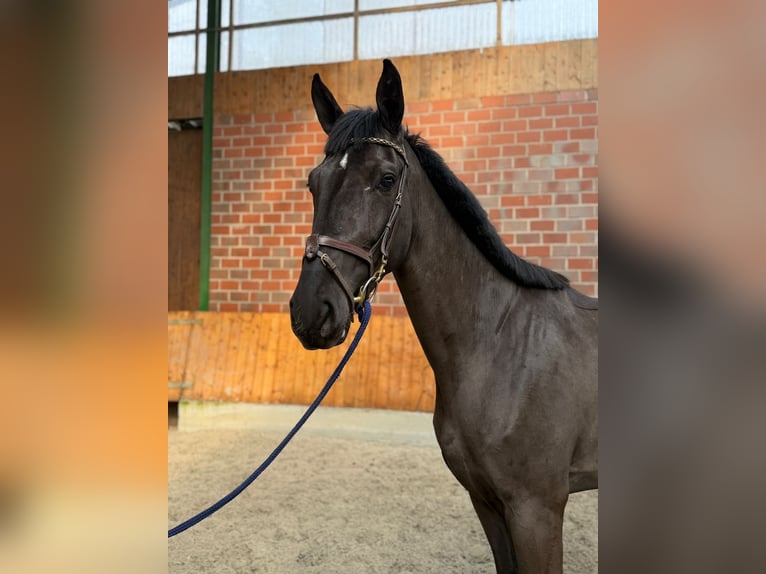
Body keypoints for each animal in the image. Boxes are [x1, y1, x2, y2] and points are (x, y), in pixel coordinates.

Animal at [289, 59, 598, 574]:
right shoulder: (487, 502)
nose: (310, 312)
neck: (499, 344)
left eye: (386, 179)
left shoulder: (537, 509)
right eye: (314, 183)